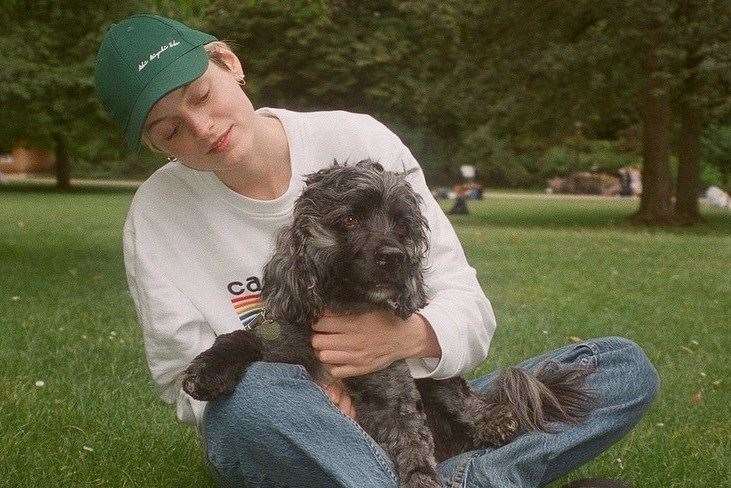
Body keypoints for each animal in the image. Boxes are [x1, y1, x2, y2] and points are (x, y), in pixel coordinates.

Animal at [184, 160, 596, 488]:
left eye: (401, 225)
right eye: (350, 218)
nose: (396, 256)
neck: (347, 309)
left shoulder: (393, 396)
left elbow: (413, 449)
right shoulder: (285, 350)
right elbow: (244, 339)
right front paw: (208, 368)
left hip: (441, 382)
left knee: (469, 405)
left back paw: (496, 420)